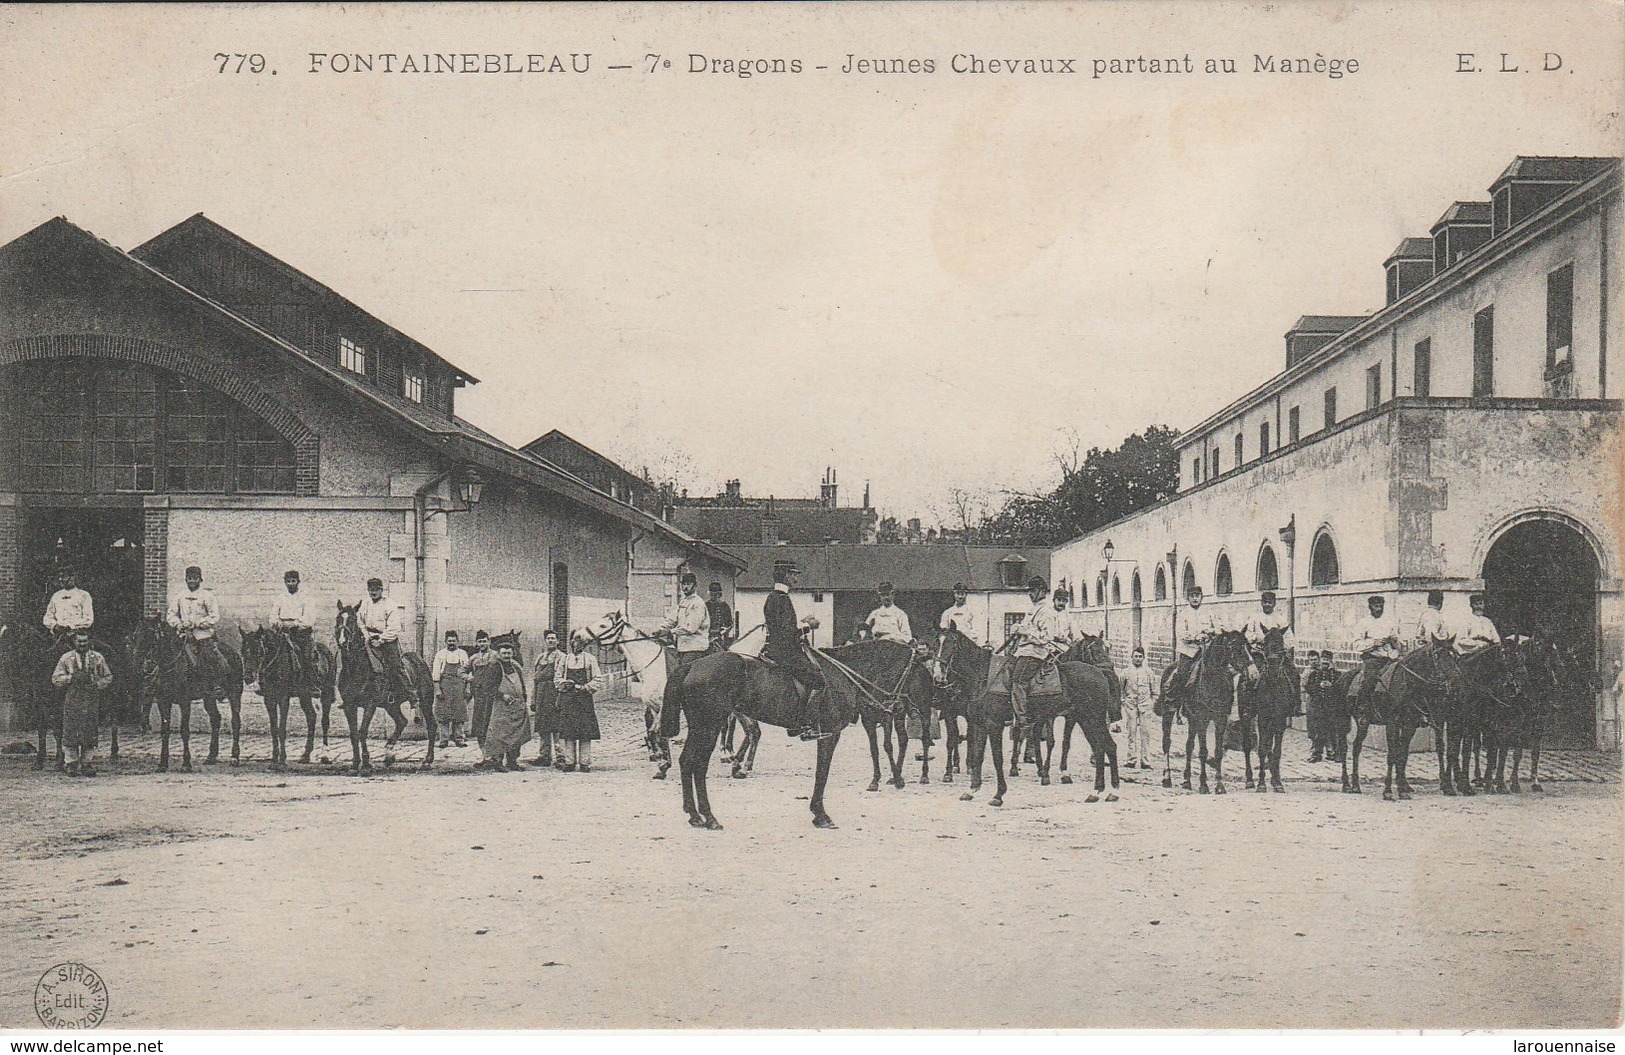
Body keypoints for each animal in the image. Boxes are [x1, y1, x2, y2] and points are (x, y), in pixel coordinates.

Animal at [242, 624, 338, 764]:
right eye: (243, 651)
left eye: (259, 651)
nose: (248, 677)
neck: (276, 663)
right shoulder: (269, 699)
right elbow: (274, 729)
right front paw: (274, 758)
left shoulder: (283, 698)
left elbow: (282, 728)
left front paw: (282, 759)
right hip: (304, 695)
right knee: (311, 717)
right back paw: (306, 755)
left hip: (326, 694)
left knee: (325, 721)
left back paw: (325, 755)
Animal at [329, 604, 435, 770]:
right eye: (338, 618)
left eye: (353, 619)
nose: (342, 640)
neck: (355, 669)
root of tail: (419, 659)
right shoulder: (349, 705)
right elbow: (353, 733)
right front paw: (355, 762)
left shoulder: (370, 704)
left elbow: (362, 731)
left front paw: (366, 761)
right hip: (391, 705)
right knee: (402, 721)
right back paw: (389, 753)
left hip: (425, 702)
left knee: (431, 726)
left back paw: (427, 759)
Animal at [659, 637, 890, 825]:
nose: (888, 710)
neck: (841, 675)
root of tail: (691, 666)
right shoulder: (830, 732)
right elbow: (822, 772)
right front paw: (821, 814)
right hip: (709, 727)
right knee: (698, 765)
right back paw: (709, 816)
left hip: (699, 728)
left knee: (687, 761)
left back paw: (695, 814)